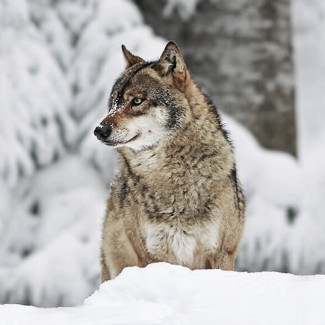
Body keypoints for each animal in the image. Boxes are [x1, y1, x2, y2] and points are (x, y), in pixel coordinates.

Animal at [95, 41, 244, 280]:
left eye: (137, 101)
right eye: (114, 101)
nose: (99, 130)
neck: (171, 177)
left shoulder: (222, 253)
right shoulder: (151, 256)